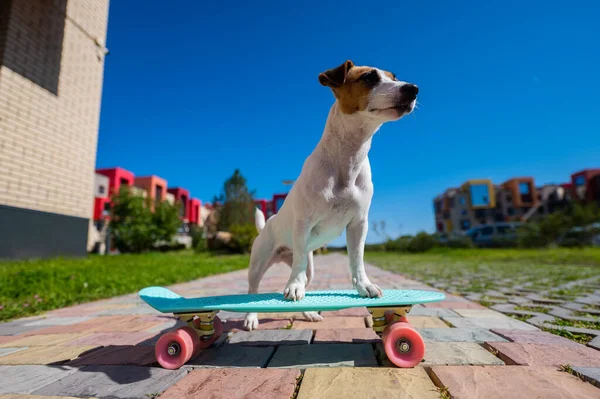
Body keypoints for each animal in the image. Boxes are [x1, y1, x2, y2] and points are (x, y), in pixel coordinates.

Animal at [243, 60, 418, 332]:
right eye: (369, 77)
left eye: (394, 77)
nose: (413, 88)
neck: (348, 157)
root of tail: (267, 225)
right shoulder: (303, 222)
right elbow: (296, 274)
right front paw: (293, 286)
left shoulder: (358, 224)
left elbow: (357, 259)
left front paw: (364, 285)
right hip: (259, 263)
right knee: (254, 289)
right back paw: (252, 317)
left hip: (309, 264)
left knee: (303, 275)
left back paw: (308, 313)